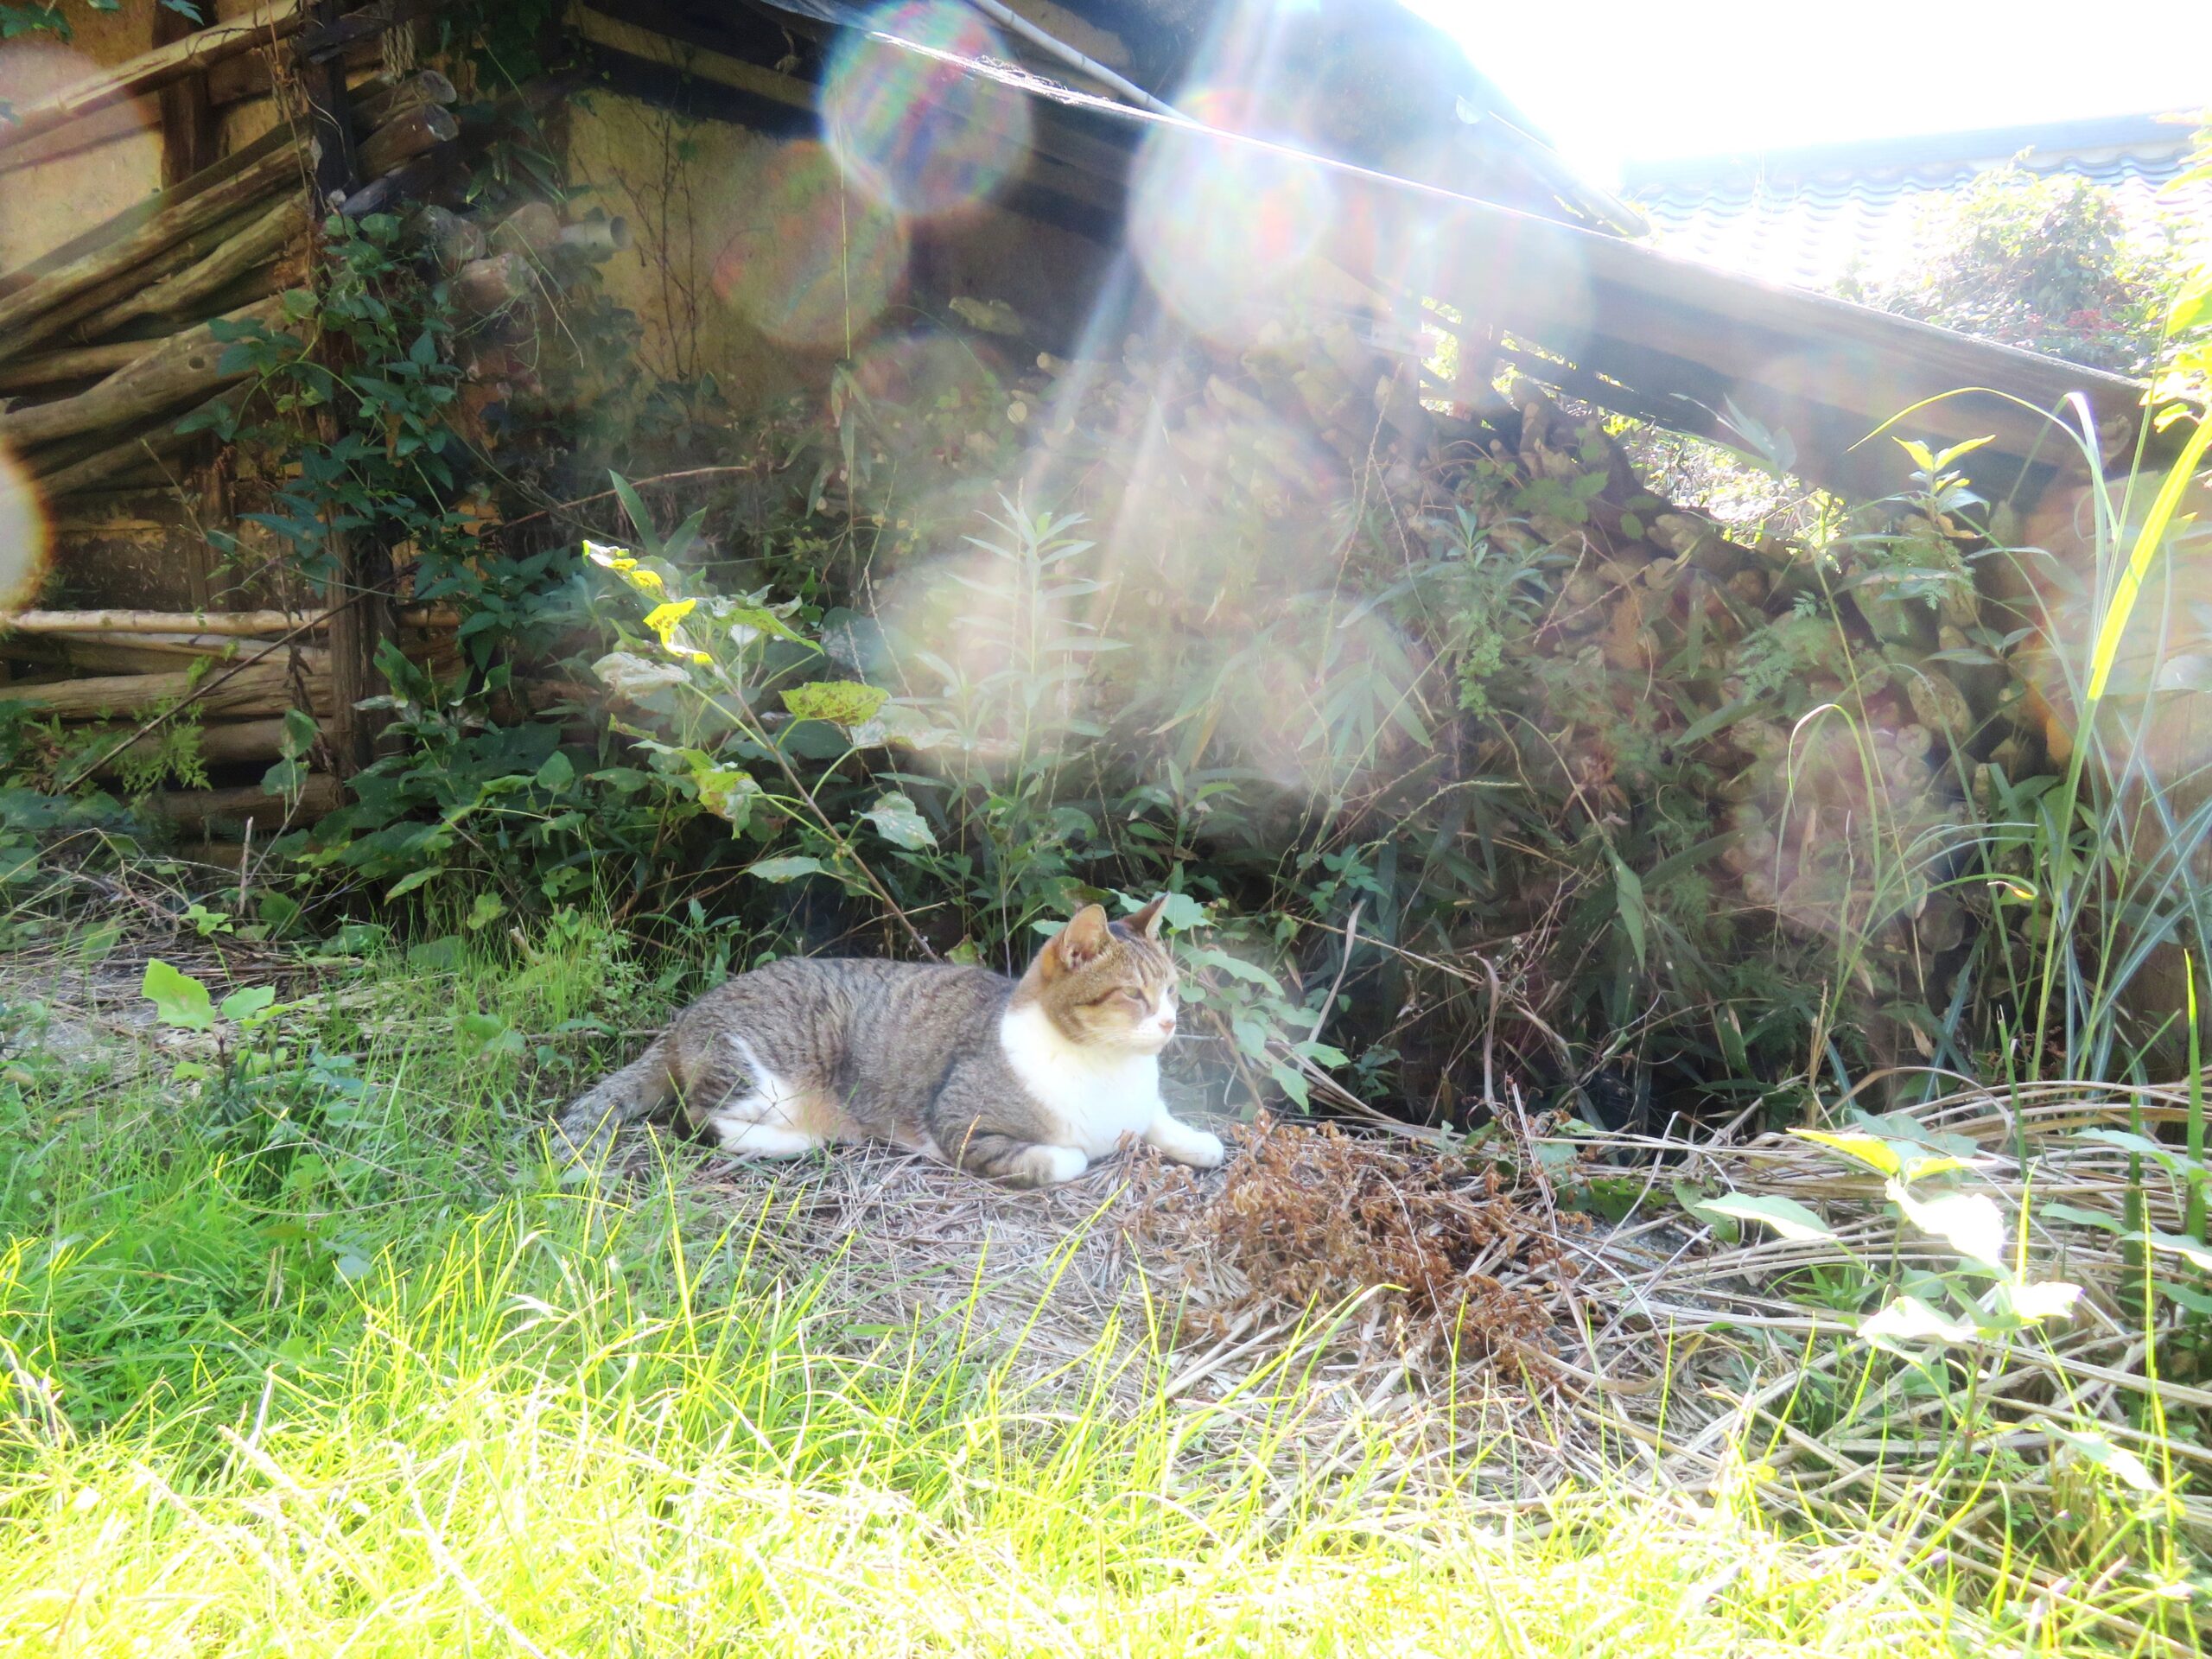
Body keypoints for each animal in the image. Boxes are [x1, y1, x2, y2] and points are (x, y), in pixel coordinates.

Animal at [553, 902, 1230, 1185]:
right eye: (1134, 995)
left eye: (1171, 991)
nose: (1169, 1024)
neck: (1110, 1072)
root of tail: (685, 1016)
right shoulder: (964, 1126)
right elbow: (1068, 1158)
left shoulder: (1141, 1108)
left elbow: (1164, 1123)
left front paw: (1197, 1140)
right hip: (767, 1070)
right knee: (696, 1119)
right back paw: (802, 1139)